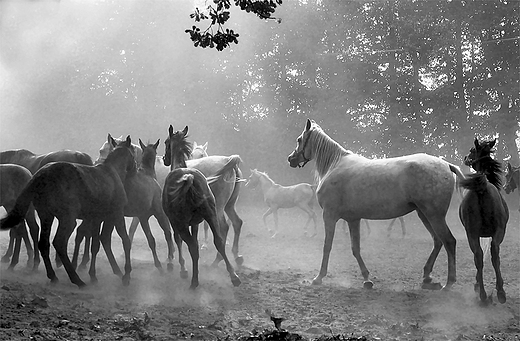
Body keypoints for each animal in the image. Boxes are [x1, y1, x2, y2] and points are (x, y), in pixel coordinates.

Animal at [0, 136, 136, 286]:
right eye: (133, 152)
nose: (136, 169)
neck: (111, 173)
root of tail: (39, 175)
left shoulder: (96, 218)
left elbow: (95, 244)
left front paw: (94, 275)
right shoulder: (117, 215)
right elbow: (125, 240)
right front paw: (126, 274)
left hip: (46, 216)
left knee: (43, 243)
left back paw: (53, 275)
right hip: (67, 219)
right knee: (59, 243)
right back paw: (76, 279)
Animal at [72, 137, 177, 272]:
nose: (164, 159)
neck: (147, 173)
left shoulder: (142, 216)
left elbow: (150, 239)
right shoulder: (156, 212)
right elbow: (165, 233)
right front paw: (167, 261)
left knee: (83, 232)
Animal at [161, 126, 241, 288]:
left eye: (166, 142)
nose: (164, 159)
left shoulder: (176, 222)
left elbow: (178, 240)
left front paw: (182, 267)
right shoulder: (195, 223)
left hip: (207, 213)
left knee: (198, 243)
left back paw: (195, 279)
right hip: (220, 210)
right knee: (224, 235)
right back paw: (233, 270)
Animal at [286, 118, 466, 288]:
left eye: (299, 139)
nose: (291, 159)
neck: (334, 165)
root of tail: (446, 165)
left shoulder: (329, 216)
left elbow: (327, 246)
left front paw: (319, 277)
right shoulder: (353, 219)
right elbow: (355, 249)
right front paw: (367, 279)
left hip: (434, 215)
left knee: (449, 241)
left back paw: (449, 283)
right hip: (424, 214)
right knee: (437, 241)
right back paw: (427, 277)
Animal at [462, 137, 510, 302]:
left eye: (472, 150)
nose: (466, 158)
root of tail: (482, 187)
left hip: (473, 234)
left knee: (480, 255)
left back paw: (486, 293)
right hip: (491, 232)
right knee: (491, 254)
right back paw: (496, 292)